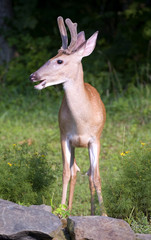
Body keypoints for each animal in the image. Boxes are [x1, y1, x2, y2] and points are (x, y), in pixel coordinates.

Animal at [29, 16, 106, 216]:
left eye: (59, 61)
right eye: (51, 58)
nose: (33, 76)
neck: (81, 122)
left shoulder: (95, 139)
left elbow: (96, 177)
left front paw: (105, 214)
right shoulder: (64, 136)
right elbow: (65, 173)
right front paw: (61, 209)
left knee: (89, 175)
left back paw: (93, 213)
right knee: (74, 172)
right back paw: (69, 209)